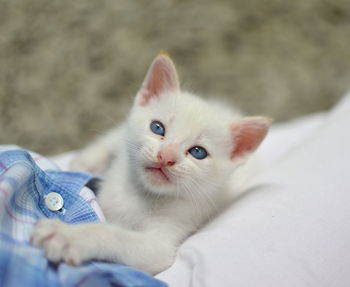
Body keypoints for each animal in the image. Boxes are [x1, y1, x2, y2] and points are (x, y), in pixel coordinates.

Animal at [30, 53, 270, 276]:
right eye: (157, 128)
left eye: (198, 152)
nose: (166, 156)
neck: (141, 194)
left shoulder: (164, 240)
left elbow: (117, 236)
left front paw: (68, 235)